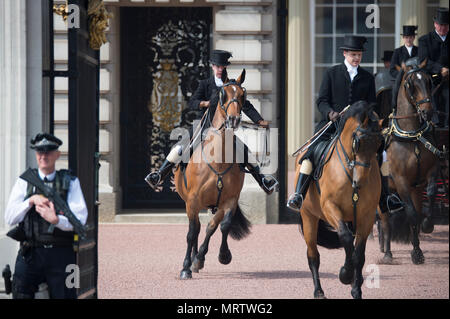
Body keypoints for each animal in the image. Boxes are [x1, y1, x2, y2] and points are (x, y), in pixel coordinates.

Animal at [174, 69, 253, 280]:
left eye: (243, 95)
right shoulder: (192, 201)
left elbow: (221, 226)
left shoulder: (229, 200)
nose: (233, 119)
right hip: (191, 203)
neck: (218, 158)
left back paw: (198, 258)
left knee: (207, 227)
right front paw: (185, 267)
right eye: (223, 94)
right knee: (195, 229)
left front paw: (222, 255)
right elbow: (191, 233)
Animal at [292, 102, 384, 300]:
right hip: (309, 216)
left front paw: (356, 289)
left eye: (378, 144)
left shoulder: (366, 216)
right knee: (313, 256)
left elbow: (359, 254)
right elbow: (345, 238)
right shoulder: (330, 208)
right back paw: (319, 291)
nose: (360, 182)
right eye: (357, 142)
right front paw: (345, 274)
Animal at [378, 59, 444, 264]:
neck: (412, 137)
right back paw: (387, 252)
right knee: (385, 221)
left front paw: (426, 229)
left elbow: (430, 195)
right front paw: (415, 250)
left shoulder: (428, 174)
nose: (427, 112)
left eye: (429, 81)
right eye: (411, 84)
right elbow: (412, 215)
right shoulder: (401, 182)